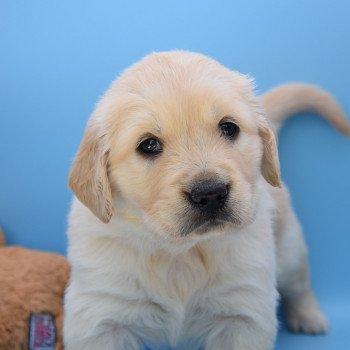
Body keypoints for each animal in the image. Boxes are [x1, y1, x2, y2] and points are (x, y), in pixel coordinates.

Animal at [63, 50, 350, 350]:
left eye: (228, 128)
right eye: (148, 145)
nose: (210, 193)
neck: (180, 253)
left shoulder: (242, 313)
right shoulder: (101, 314)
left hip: (290, 247)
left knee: (299, 286)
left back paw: (310, 317)